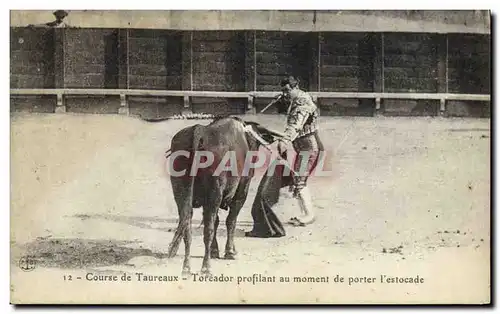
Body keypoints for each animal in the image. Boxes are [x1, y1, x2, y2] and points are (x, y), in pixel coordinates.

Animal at [164, 116, 282, 276]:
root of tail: (200, 131)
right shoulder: (241, 191)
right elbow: (230, 220)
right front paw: (230, 251)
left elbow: (216, 221)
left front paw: (215, 251)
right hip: (215, 194)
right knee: (207, 230)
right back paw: (206, 267)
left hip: (181, 194)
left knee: (187, 225)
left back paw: (186, 267)